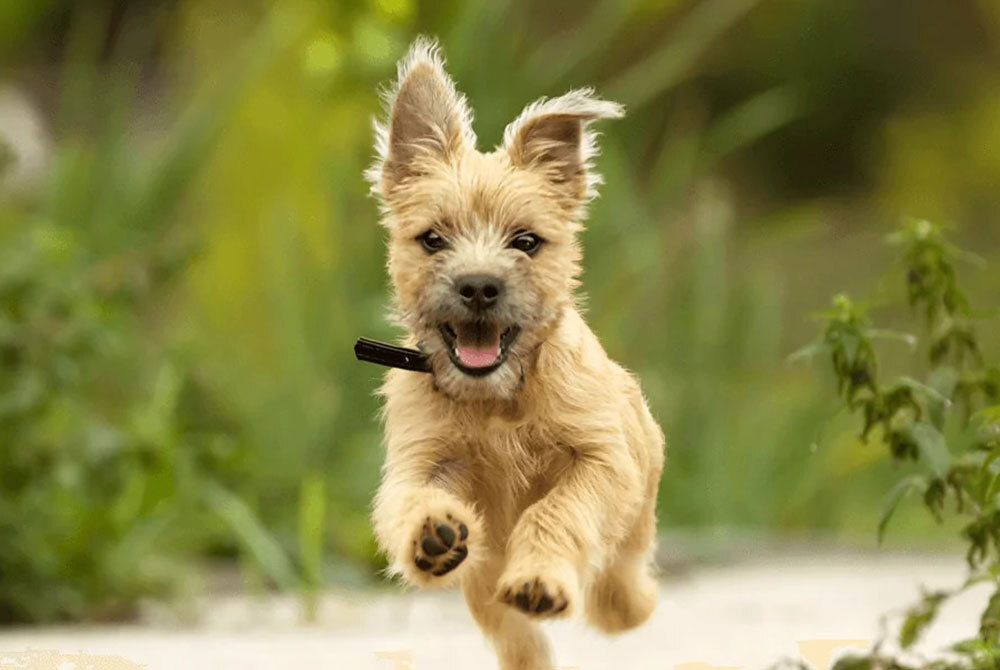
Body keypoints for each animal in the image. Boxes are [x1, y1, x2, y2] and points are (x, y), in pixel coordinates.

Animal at [366, 38, 664, 670]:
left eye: (526, 242)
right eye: (433, 239)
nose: (479, 286)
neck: (497, 400)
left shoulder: (601, 461)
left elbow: (555, 512)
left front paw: (541, 580)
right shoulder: (420, 459)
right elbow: (408, 499)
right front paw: (432, 533)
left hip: (635, 512)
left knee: (620, 582)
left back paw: (623, 602)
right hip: (483, 586)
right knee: (514, 636)